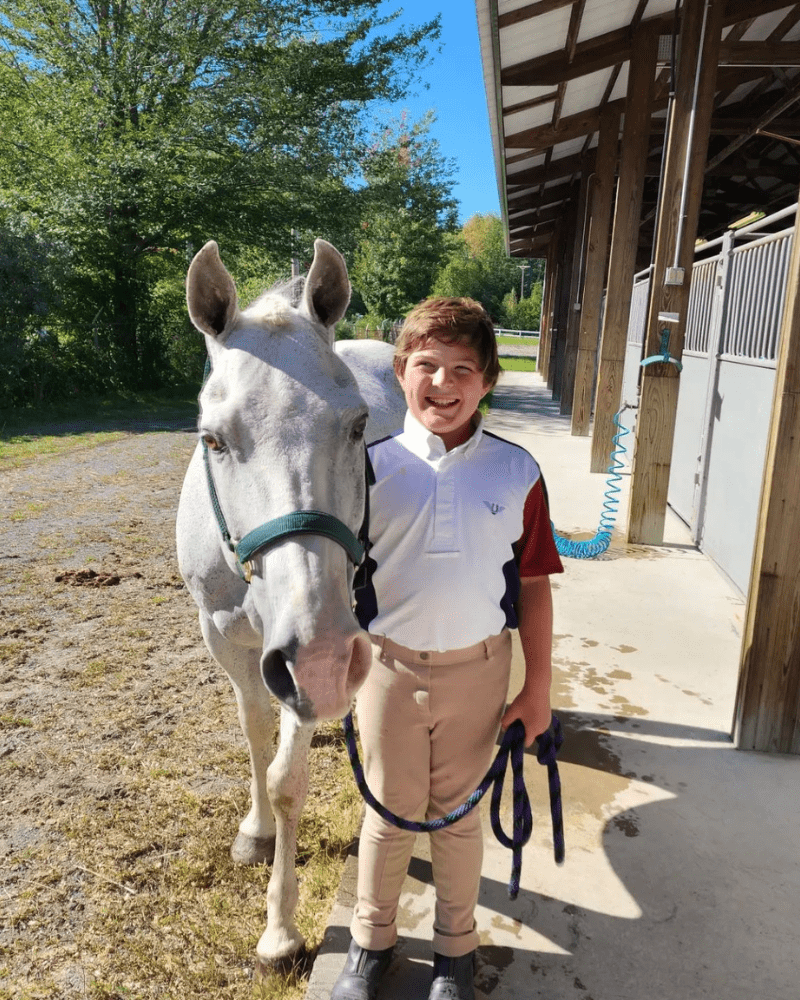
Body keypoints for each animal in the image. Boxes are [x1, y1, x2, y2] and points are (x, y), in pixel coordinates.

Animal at [176, 238, 405, 968]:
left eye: (357, 426)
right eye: (213, 438)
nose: (325, 663)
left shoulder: (305, 657)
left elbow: (286, 779)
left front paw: (279, 927)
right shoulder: (227, 638)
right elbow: (253, 735)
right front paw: (252, 831)